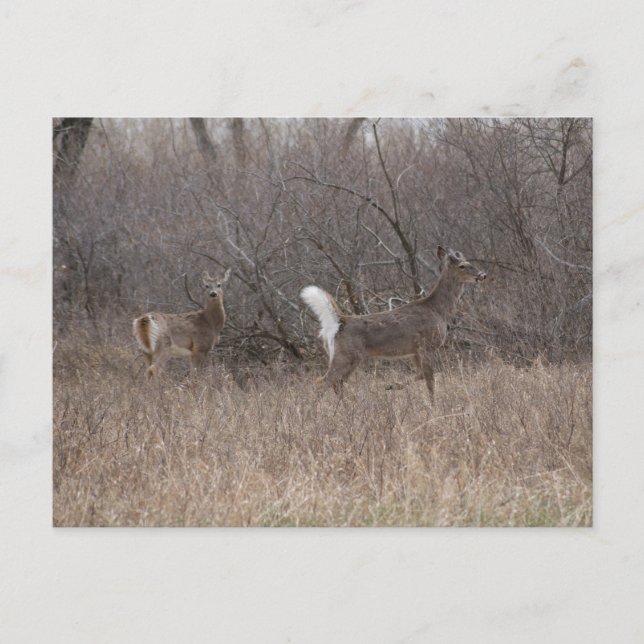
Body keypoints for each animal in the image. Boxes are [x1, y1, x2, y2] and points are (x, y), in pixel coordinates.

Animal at [300, 246, 486, 398]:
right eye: (462, 266)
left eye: (470, 263)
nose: (482, 275)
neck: (438, 310)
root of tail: (339, 322)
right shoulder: (427, 345)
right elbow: (430, 381)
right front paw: (434, 407)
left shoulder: (415, 350)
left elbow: (420, 375)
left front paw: (390, 386)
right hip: (345, 355)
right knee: (322, 382)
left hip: (350, 357)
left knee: (337, 383)